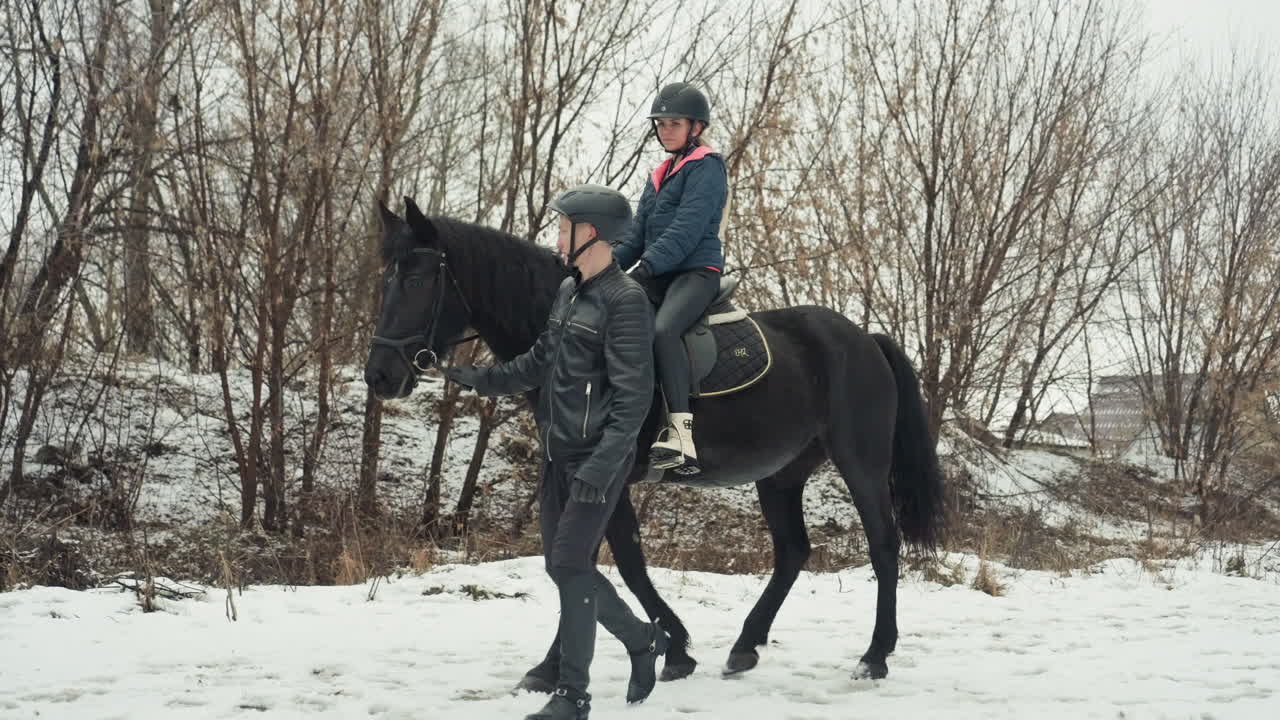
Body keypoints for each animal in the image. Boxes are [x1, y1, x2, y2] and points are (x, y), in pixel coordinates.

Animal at [363, 196, 946, 684]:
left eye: (418, 281)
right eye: (385, 280)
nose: (380, 376)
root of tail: (863, 339)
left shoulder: (608, 474)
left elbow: (622, 563)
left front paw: (675, 647)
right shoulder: (572, 474)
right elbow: (576, 562)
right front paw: (559, 665)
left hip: (861, 464)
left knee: (883, 545)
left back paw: (875, 655)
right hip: (780, 475)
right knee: (792, 551)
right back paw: (746, 645)